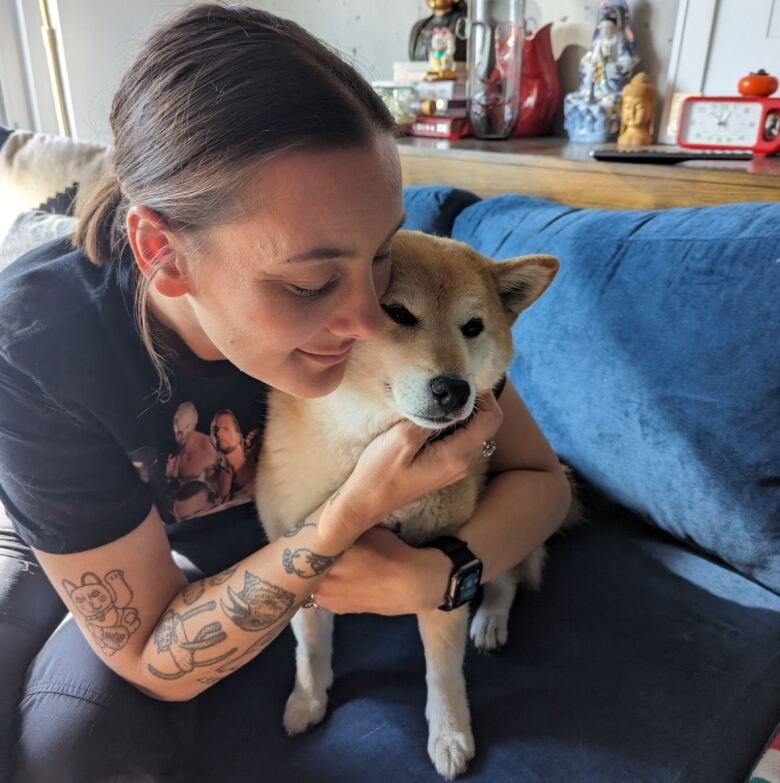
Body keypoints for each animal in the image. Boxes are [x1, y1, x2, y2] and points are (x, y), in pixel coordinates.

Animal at [256, 230, 580, 780]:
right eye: (397, 312)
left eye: (472, 327)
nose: (455, 389)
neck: (364, 446)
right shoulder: (297, 563)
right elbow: (310, 646)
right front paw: (307, 699)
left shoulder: (438, 576)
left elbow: (444, 673)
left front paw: (450, 735)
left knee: (508, 577)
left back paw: (490, 619)